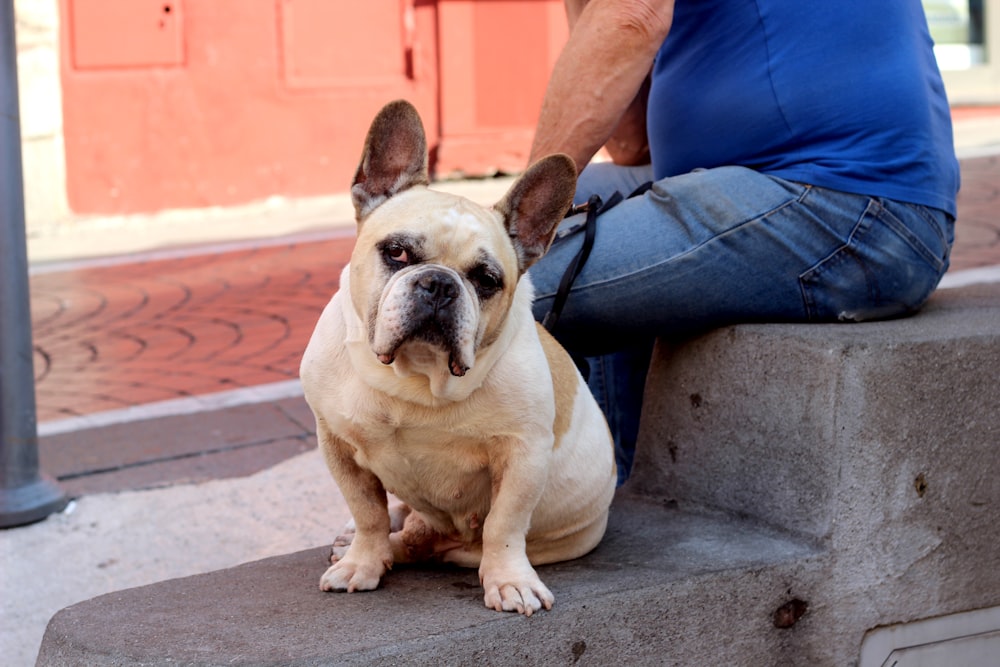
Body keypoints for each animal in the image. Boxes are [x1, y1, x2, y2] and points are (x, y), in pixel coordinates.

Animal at [298, 99, 616, 616]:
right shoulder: (337, 442)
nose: (439, 283)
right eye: (396, 252)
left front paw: (511, 581)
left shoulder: (523, 455)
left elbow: (505, 524)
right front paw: (361, 561)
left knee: (430, 541)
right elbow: (366, 510)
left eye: (486, 280)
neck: (414, 376)